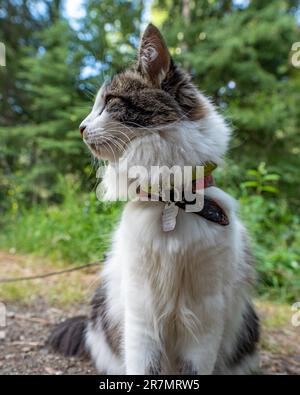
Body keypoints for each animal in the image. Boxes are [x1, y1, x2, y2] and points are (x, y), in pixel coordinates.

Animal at [48, 23, 258, 376]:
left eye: (109, 101)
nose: (81, 127)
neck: (172, 200)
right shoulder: (142, 313)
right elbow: (144, 367)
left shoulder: (205, 318)